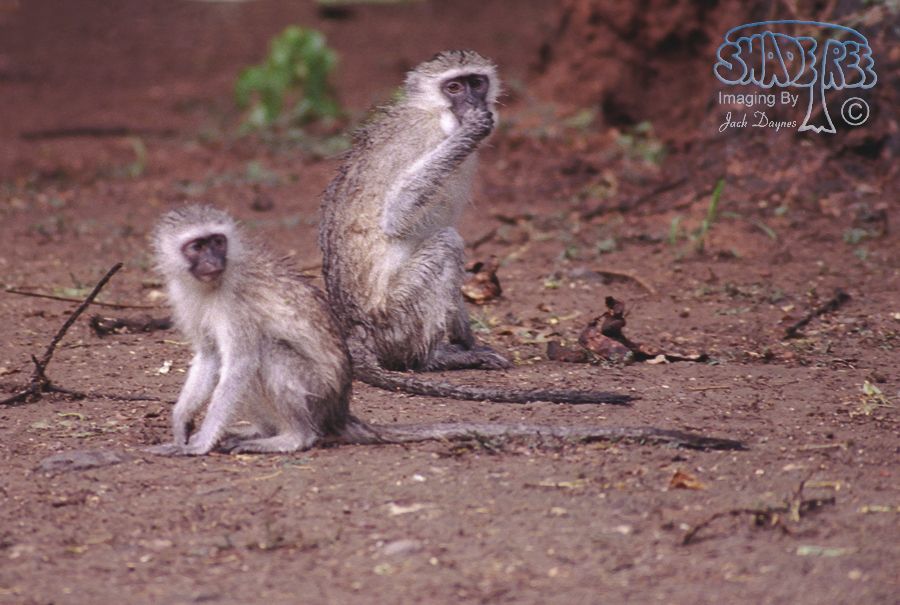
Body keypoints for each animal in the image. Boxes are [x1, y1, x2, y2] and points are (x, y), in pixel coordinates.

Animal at [146, 205, 741, 455]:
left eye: (218, 241)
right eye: (198, 246)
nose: (214, 258)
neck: (209, 286)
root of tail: (340, 411)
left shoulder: (237, 305)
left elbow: (240, 362)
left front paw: (199, 443)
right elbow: (209, 360)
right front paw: (180, 427)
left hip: (315, 397)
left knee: (270, 358)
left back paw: (292, 438)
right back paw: (260, 433)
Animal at [318, 50, 632, 405]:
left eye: (476, 83)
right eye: (454, 87)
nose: (473, 102)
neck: (436, 114)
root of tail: (355, 332)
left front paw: (469, 338)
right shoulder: (424, 137)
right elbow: (397, 213)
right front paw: (472, 130)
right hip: (392, 320)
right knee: (447, 243)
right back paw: (429, 359)